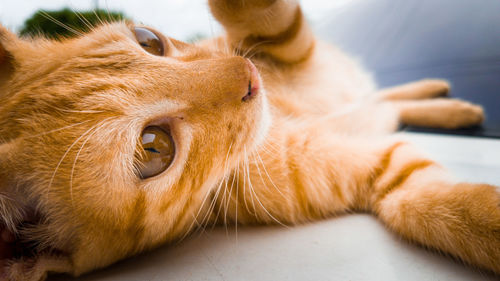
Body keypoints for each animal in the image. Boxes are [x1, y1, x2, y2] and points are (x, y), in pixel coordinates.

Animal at [0, 1, 498, 278]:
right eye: (153, 147)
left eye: (149, 40)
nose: (247, 72)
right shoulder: (376, 172)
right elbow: (429, 205)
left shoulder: (280, 45)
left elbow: (258, 14)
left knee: (383, 98)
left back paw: (446, 99)